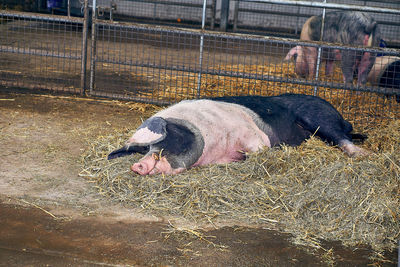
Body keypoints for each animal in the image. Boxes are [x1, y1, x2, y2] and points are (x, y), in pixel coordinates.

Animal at [107, 94, 368, 176]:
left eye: (169, 138)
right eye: (145, 148)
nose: (138, 165)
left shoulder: (251, 134)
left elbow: (259, 148)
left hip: (319, 118)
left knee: (342, 138)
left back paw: (362, 155)